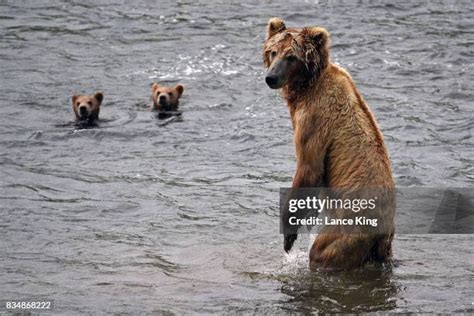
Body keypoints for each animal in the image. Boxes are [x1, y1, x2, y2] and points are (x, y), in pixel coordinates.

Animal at [264, 16, 394, 270]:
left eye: (291, 56)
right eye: (273, 52)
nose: (271, 77)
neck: (306, 87)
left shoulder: (314, 120)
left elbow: (308, 169)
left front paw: (289, 234)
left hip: (349, 225)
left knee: (322, 251)